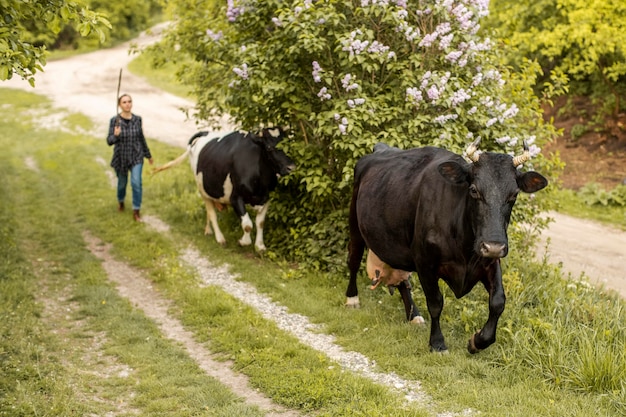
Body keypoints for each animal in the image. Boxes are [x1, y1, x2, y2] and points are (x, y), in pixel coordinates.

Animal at [155, 127, 294, 250]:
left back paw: (208, 231)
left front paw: (260, 246)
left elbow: (260, 223)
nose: (291, 167)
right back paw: (220, 238)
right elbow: (247, 225)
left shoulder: (267, 198)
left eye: (289, 143)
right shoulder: (235, 198)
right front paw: (243, 242)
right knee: (212, 214)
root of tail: (205, 132)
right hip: (202, 190)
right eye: (269, 147)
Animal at [346, 139, 544, 352]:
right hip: (355, 225)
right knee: (353, 261)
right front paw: (437, 343)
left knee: (401, 278)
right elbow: (435, 303)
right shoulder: (425, 262)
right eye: (474, 190)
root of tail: (382, 148)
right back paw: (352, 299)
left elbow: (498, 302)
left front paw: (478, 342)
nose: (493, 246)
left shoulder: (489, 262)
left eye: (514, 194)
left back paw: (414, 316)